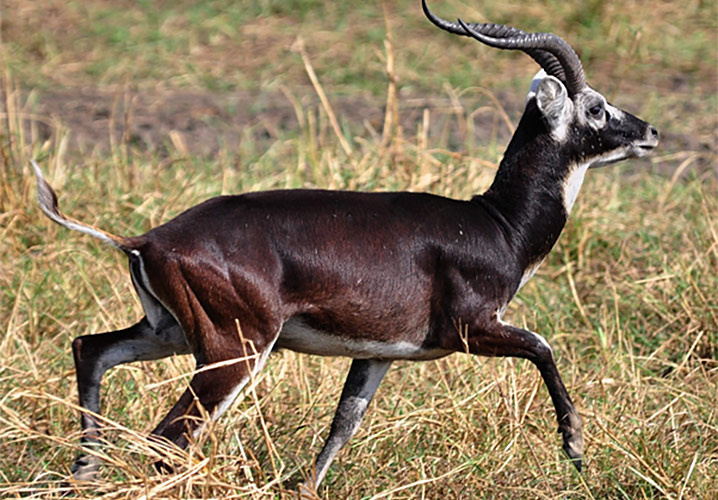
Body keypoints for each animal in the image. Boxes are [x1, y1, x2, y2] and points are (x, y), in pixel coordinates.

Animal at [32, 0, 658, 491]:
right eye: (596, 106)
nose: (650, 131)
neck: (496, 224)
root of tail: (146, 239)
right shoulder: (472, 329)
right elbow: (544, 346)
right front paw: (575, 447)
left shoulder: (378, 353)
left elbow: (343, 424)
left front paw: (307, 489)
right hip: (235, 350)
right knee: (167, 437)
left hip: (169, 332)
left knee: (91, 349)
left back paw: (83, 472)